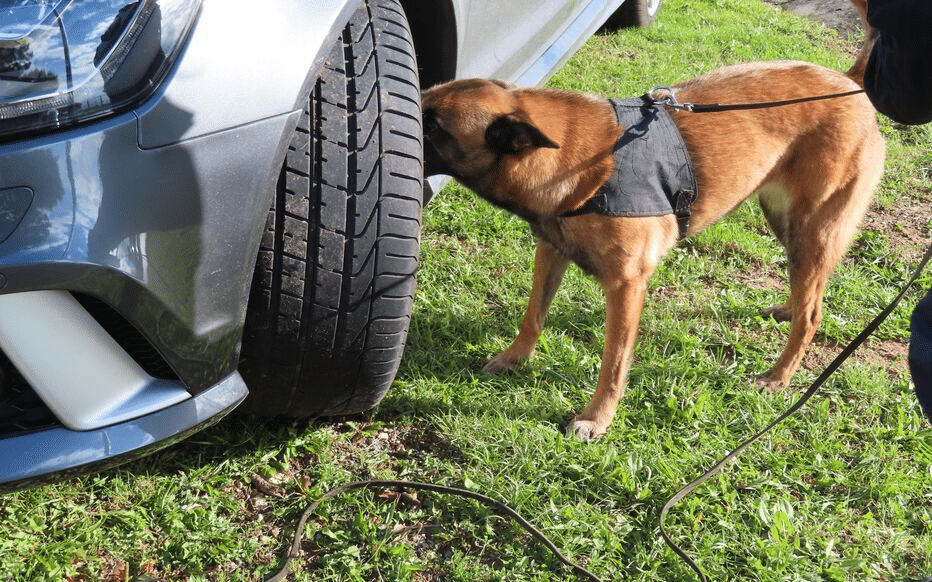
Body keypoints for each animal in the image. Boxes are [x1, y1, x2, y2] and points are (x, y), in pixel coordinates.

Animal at [420, 0, 880, 438]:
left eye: (433, 125)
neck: (580, 164)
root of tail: (849, 82)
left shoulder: (626, 286)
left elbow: (613, 362)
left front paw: (597, 419)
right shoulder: (551, 251)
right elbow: (534, 315)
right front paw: (514, 359)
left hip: (812, 231)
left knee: (813, 312)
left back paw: (779, 376)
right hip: (787, 224)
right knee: (809, 293)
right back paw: (786, 309)